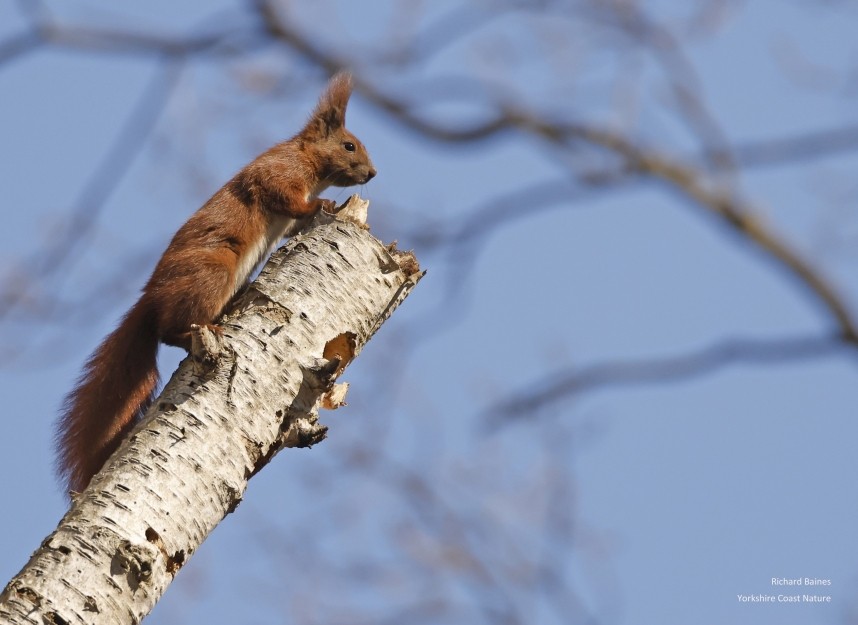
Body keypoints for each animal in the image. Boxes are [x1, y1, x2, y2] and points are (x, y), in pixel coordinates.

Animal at [56, 72, 376, 495]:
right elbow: (284, 197)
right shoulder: (278, 172)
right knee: (170, 331)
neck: (307, 163)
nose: (372, 173)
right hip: (213, 272)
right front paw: (319, 206)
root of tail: (149, 300)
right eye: (348, 145)